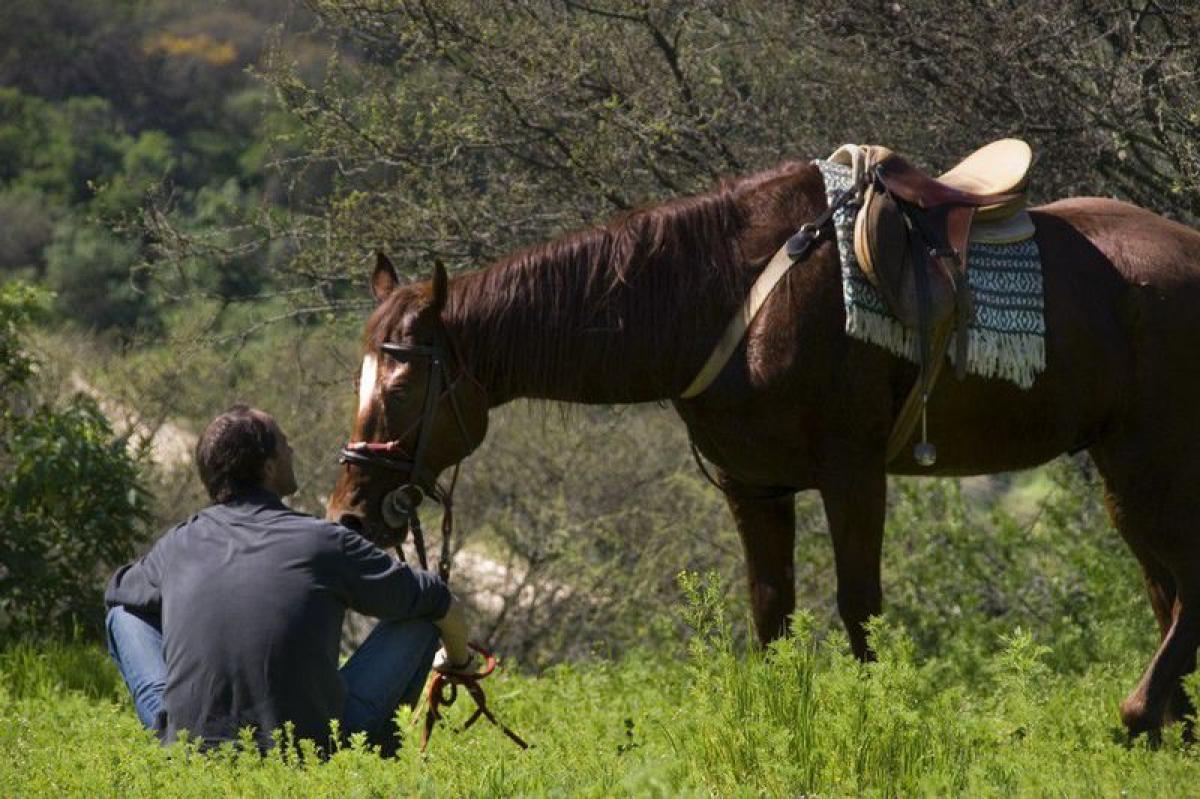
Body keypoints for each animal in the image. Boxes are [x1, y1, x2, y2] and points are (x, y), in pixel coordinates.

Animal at [331, 155, 1200, 734]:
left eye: (402, 385)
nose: (350, 511)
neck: (733, 296)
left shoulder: (853, 477)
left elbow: (859, 609)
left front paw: (876, 721)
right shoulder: (755, 489)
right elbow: (772, 611)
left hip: (1153, 468)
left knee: (1184, 588)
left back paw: (1141, 712)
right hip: (1125, 474)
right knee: (1167, 591)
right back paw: (1169, 722)